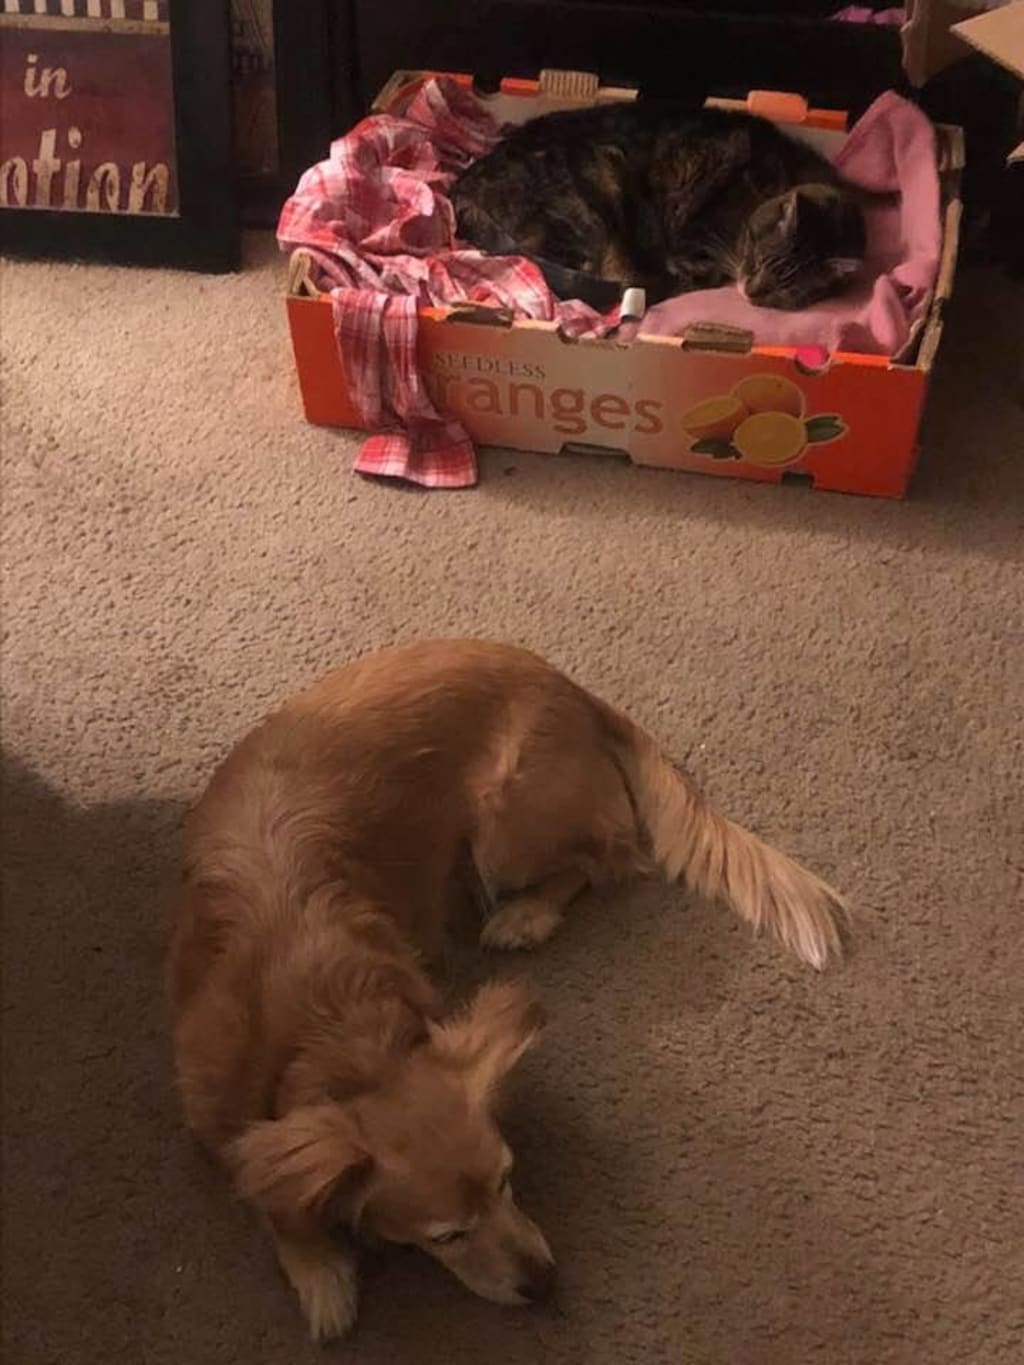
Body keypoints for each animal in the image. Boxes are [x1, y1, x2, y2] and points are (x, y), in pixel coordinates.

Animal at [169, 638, 844, 1339]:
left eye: (507, 1179)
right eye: (445, 1236)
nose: (545, 1284)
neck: (334, 1031)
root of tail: (567, 687)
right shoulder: (216, 1115)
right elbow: (272, 1195)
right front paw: (323, 1272)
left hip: (503, 823)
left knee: (608, 857)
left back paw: (528, 915)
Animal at [451, 102, 866, 310]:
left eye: (787, 288)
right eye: (757, 259)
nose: (751, 292)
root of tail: (461, 187)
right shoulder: (692, 245)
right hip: (593, 194)